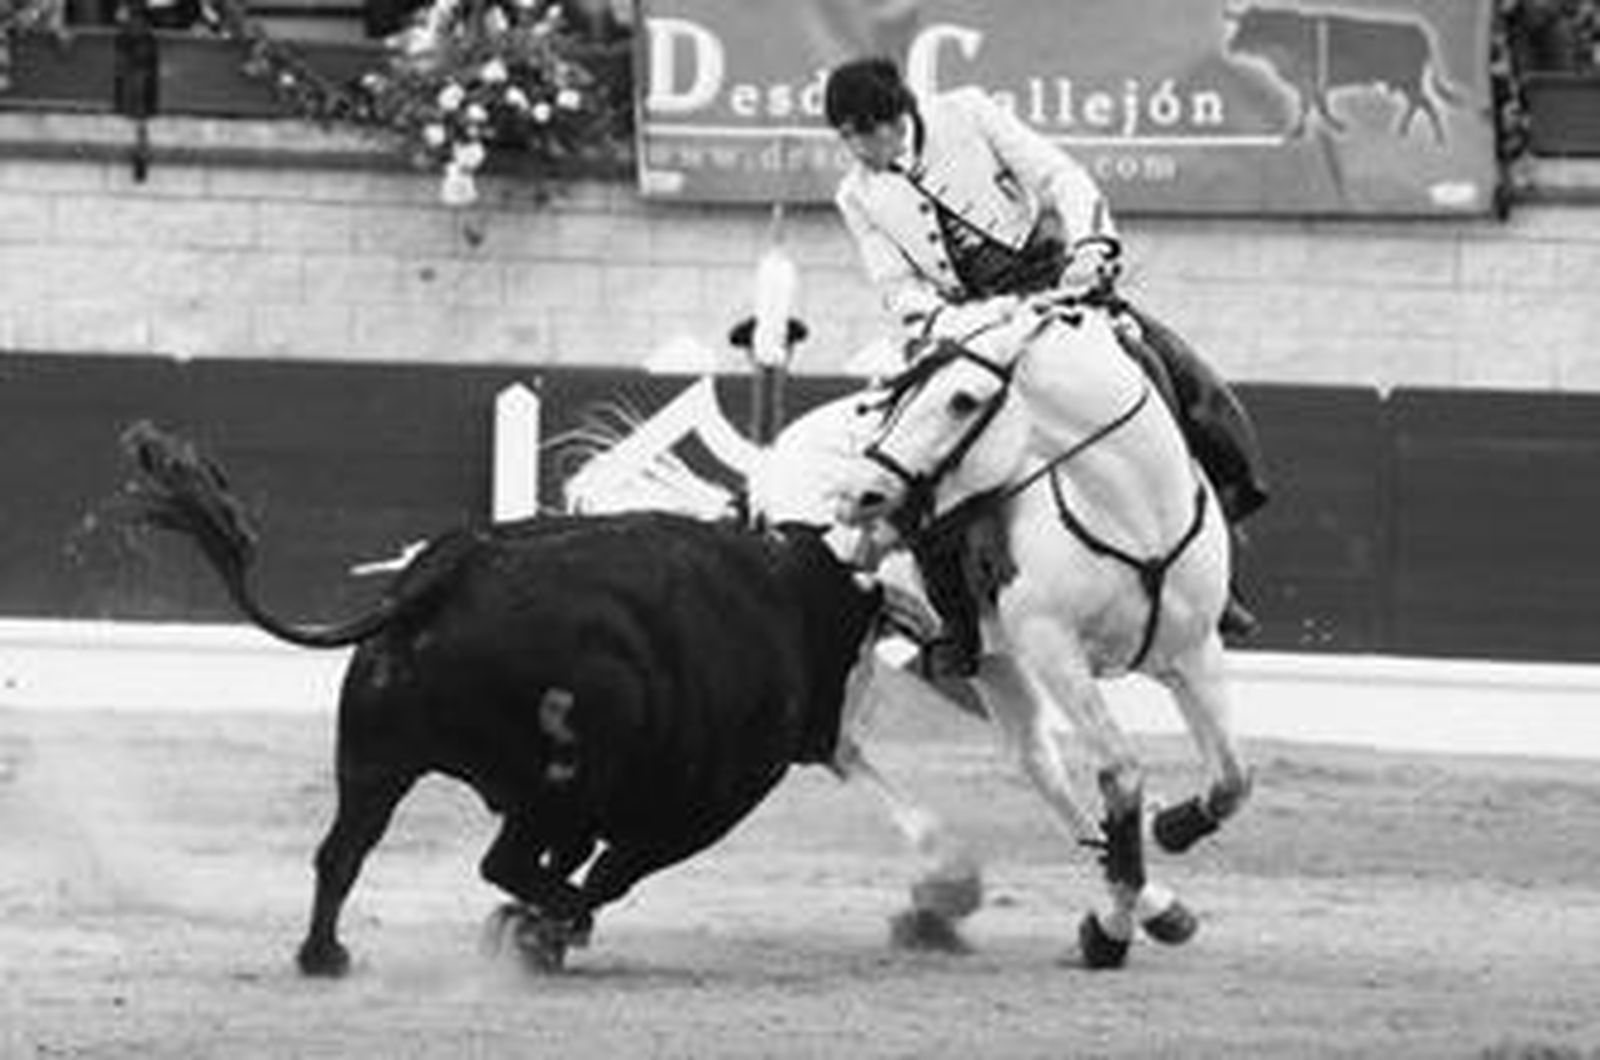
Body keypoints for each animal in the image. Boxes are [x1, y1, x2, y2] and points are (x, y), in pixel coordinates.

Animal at [113, 421, 886, 974]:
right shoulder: (702, 808)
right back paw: (549, 923)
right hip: (561, 773)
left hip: (376, 764)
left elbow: (580, 861)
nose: (831, 739)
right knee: (505, 863)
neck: (786, 598)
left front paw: (532, 929)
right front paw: (545, 931)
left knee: (343, 852)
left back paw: (325, 956)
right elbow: (612, 870)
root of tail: (450, 567)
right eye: (854, 643)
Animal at [825, 287, 1255, 969]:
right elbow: (1121, 771)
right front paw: (1108, 931)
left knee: (1036, 762)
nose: (861, 493)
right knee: (843, 745)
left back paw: (1158, 906)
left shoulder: (1194, 651)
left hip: (998, 663)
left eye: (962, 399)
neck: (1132, 511)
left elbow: (1233, 777)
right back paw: (949, 873)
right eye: (906, 394)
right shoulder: (1054, 648)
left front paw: (1171, 829)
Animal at [1223, 4, 1466, 143]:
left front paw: (1303, 130)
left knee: (1425, 103)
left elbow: (1311, 106)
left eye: (1250, 26)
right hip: (1405, 82)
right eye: (1240, 24)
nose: (1230, 46)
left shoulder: (1307, 82)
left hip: (1408, 80)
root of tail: (1417, 29)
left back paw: (1433, 137)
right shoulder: (1309, 84)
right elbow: (1316, 105)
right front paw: (1327, 126)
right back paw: (1404, 132)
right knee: (1419, 103)